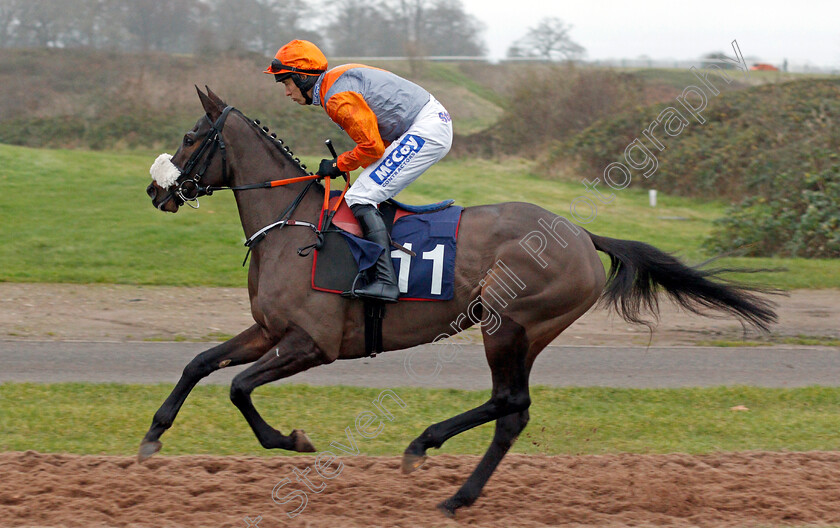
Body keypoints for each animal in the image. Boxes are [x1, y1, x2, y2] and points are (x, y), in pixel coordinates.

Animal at [141, 86, 776, 516]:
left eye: (191, 137)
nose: (154, 190)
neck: (292, 227)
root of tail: (579, 233)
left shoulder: (312, 343)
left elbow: (238, 386)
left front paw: (291, 440)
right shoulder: (271, 331)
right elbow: (199, 363)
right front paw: (152, 438)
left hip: (508, 321)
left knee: (510, 401)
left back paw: (431, 459)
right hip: (524, 331)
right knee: (512, 410)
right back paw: (452, 485)